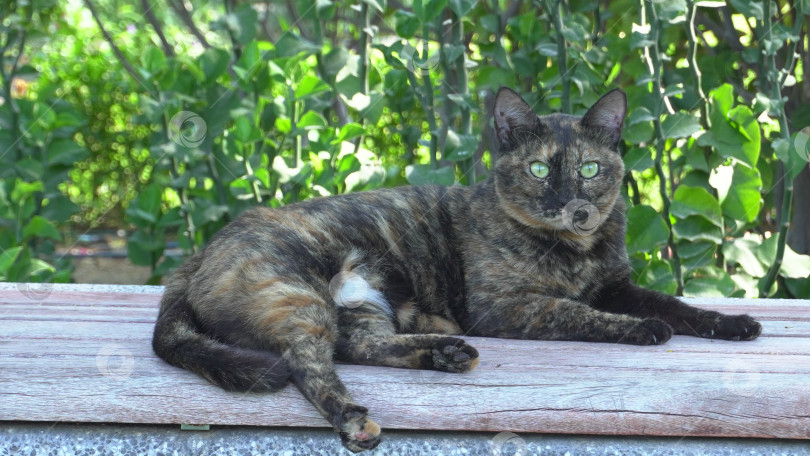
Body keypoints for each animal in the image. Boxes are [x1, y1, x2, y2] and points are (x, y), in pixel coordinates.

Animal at [150, 86, 756, 452]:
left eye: (588, 169)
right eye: (539, 169)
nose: (569, 202)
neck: (575, 249)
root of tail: (197, 255)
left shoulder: (616, 286)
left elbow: (678, 305)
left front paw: (732, 323)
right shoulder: (508, 307)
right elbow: (579, 314)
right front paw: (643, 329)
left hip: (361, 300)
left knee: (361, 345)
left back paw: (445, 352)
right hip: (298, 295)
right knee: (309, 362)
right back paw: (357, 418)